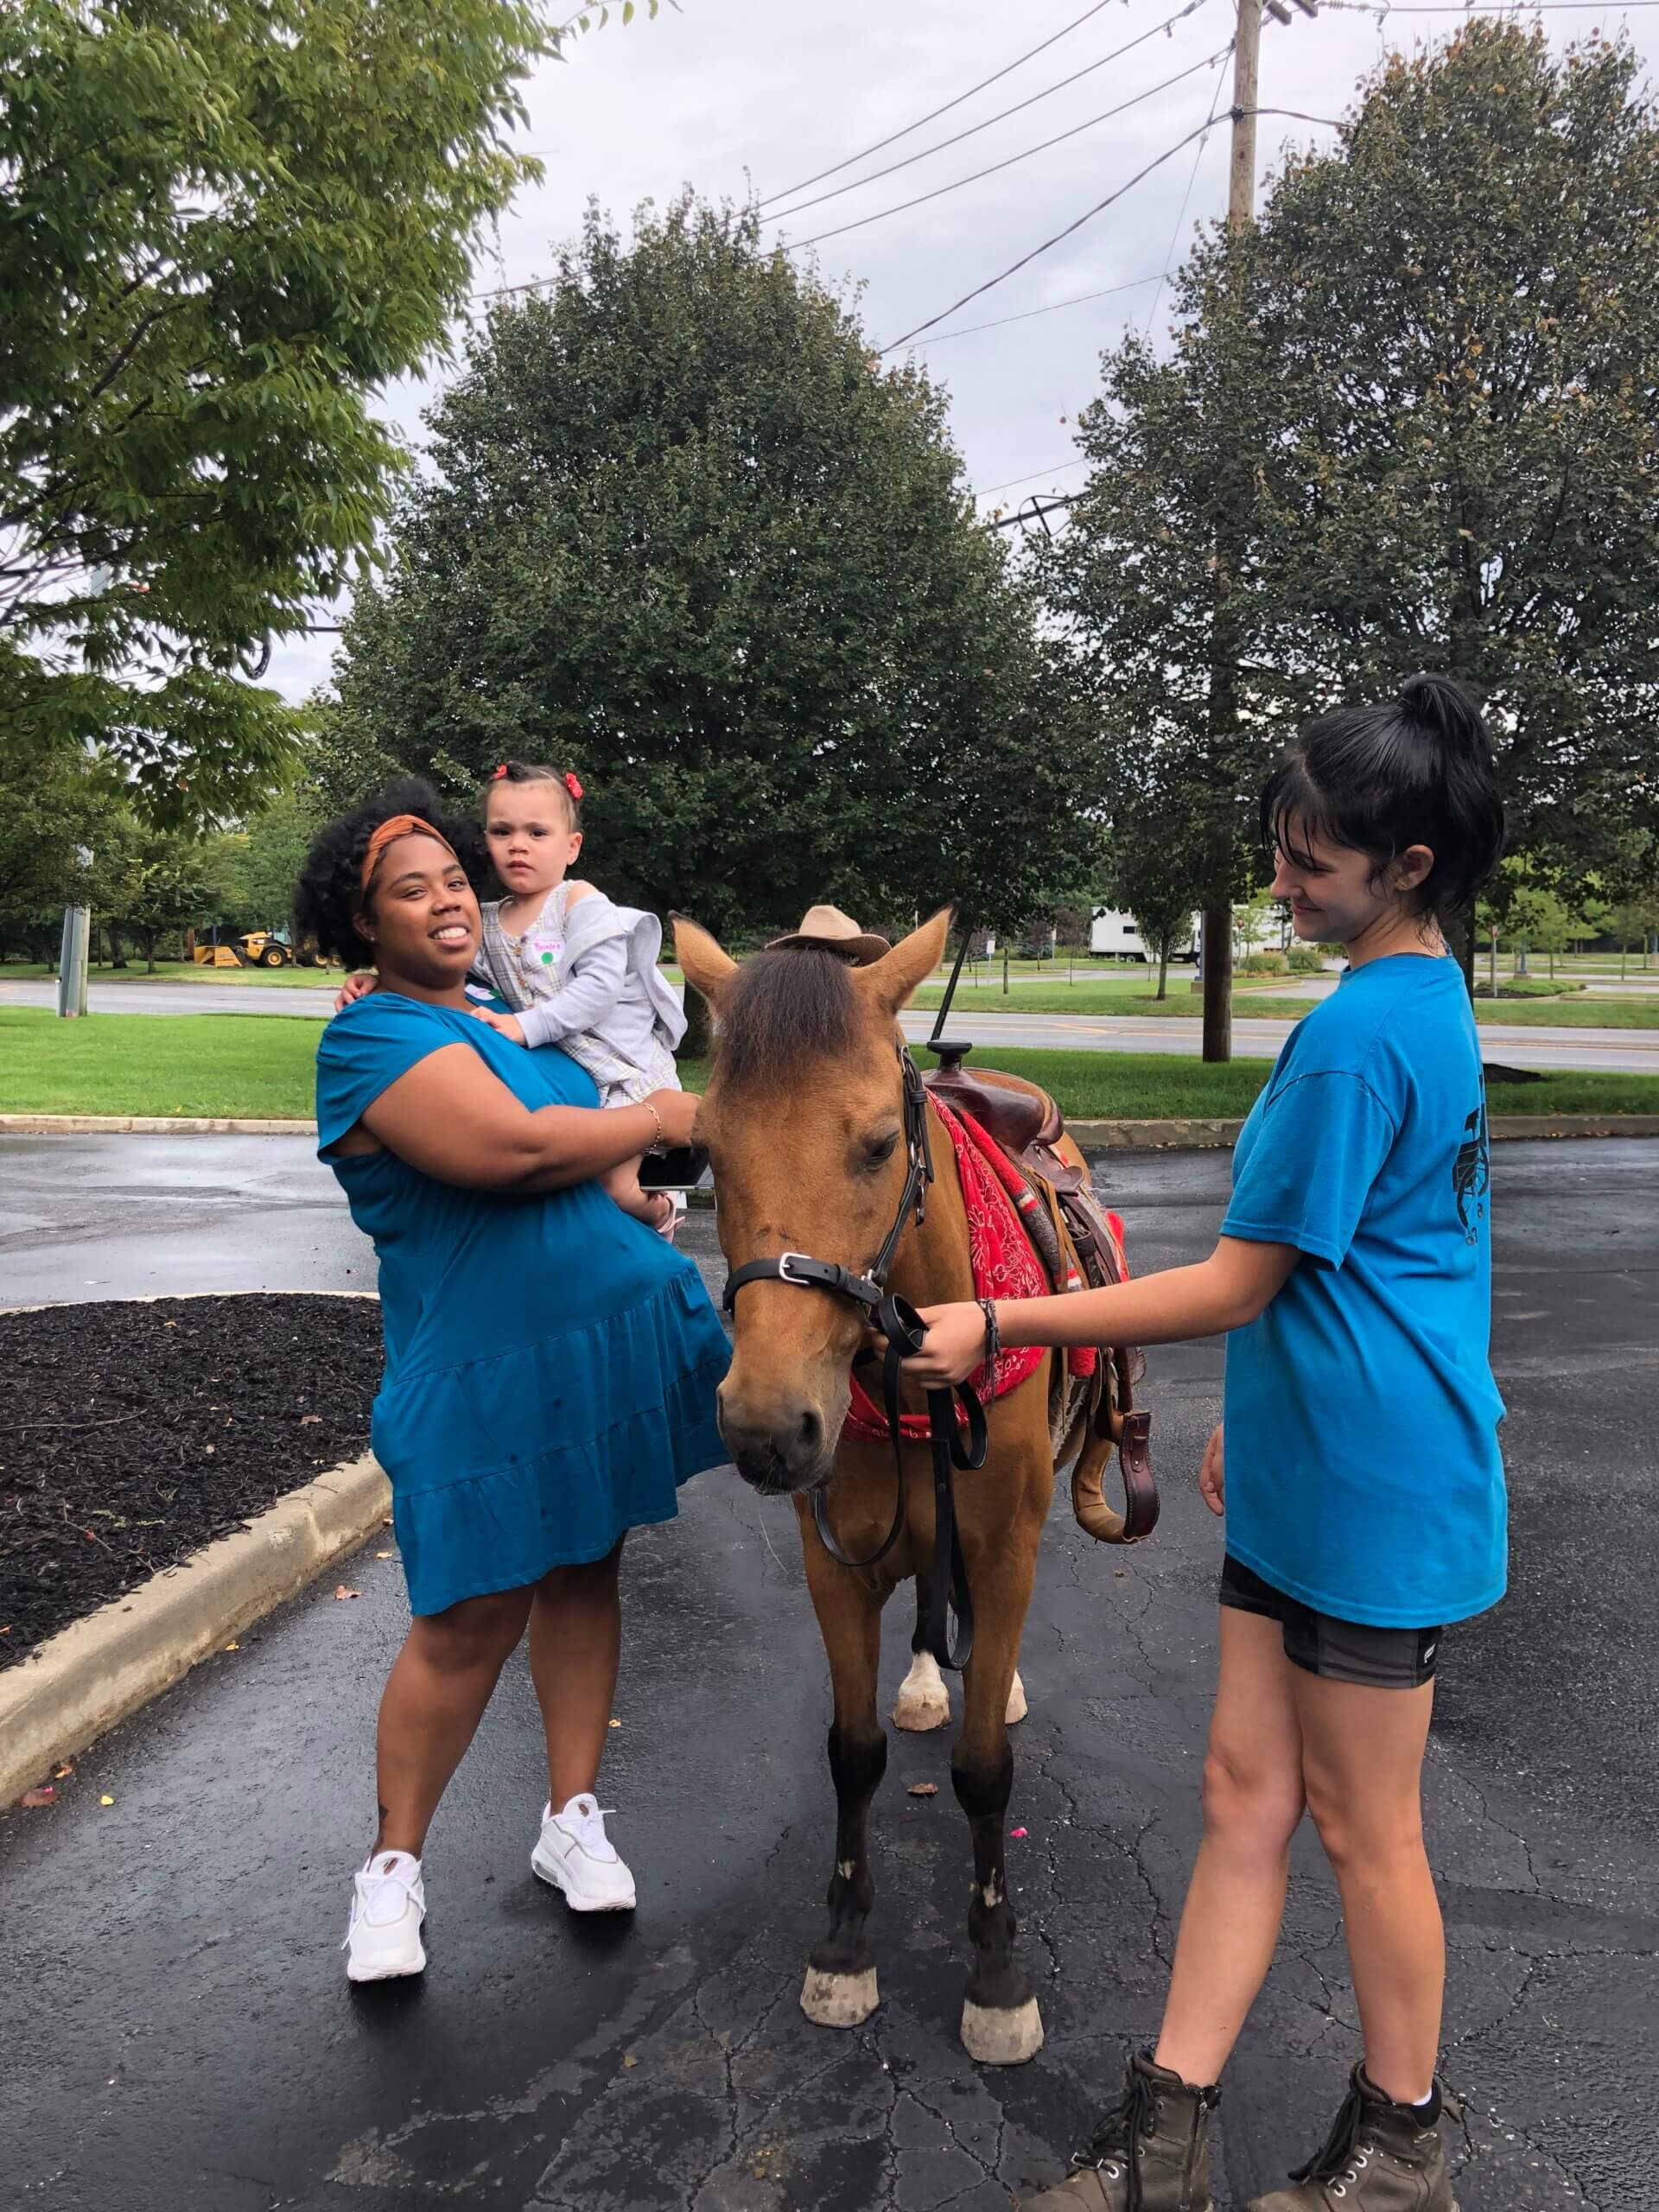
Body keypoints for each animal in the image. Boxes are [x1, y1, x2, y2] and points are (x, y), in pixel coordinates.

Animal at [677, 906, 1141, 2061]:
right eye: (706, 1149)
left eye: (881, 1142)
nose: (767, 1425)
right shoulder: (830, 1563)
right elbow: (851, 1752)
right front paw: (844, 1945)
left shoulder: (1004, 1548)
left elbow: (982, 1770)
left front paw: (997, 1970)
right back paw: (934, 1672)